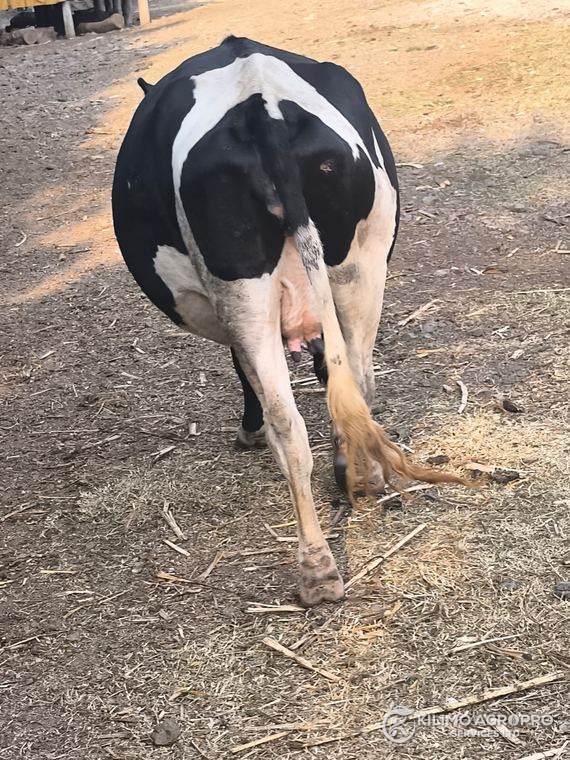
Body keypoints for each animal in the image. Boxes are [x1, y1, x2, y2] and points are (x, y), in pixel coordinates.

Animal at [112, 36, 464, 606]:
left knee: (289, 423)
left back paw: (317, 567)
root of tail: (260, 104)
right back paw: (362, 478)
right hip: (360, 265)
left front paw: (249, 429)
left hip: (242, 287)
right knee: (358, 379)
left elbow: (246, 375)